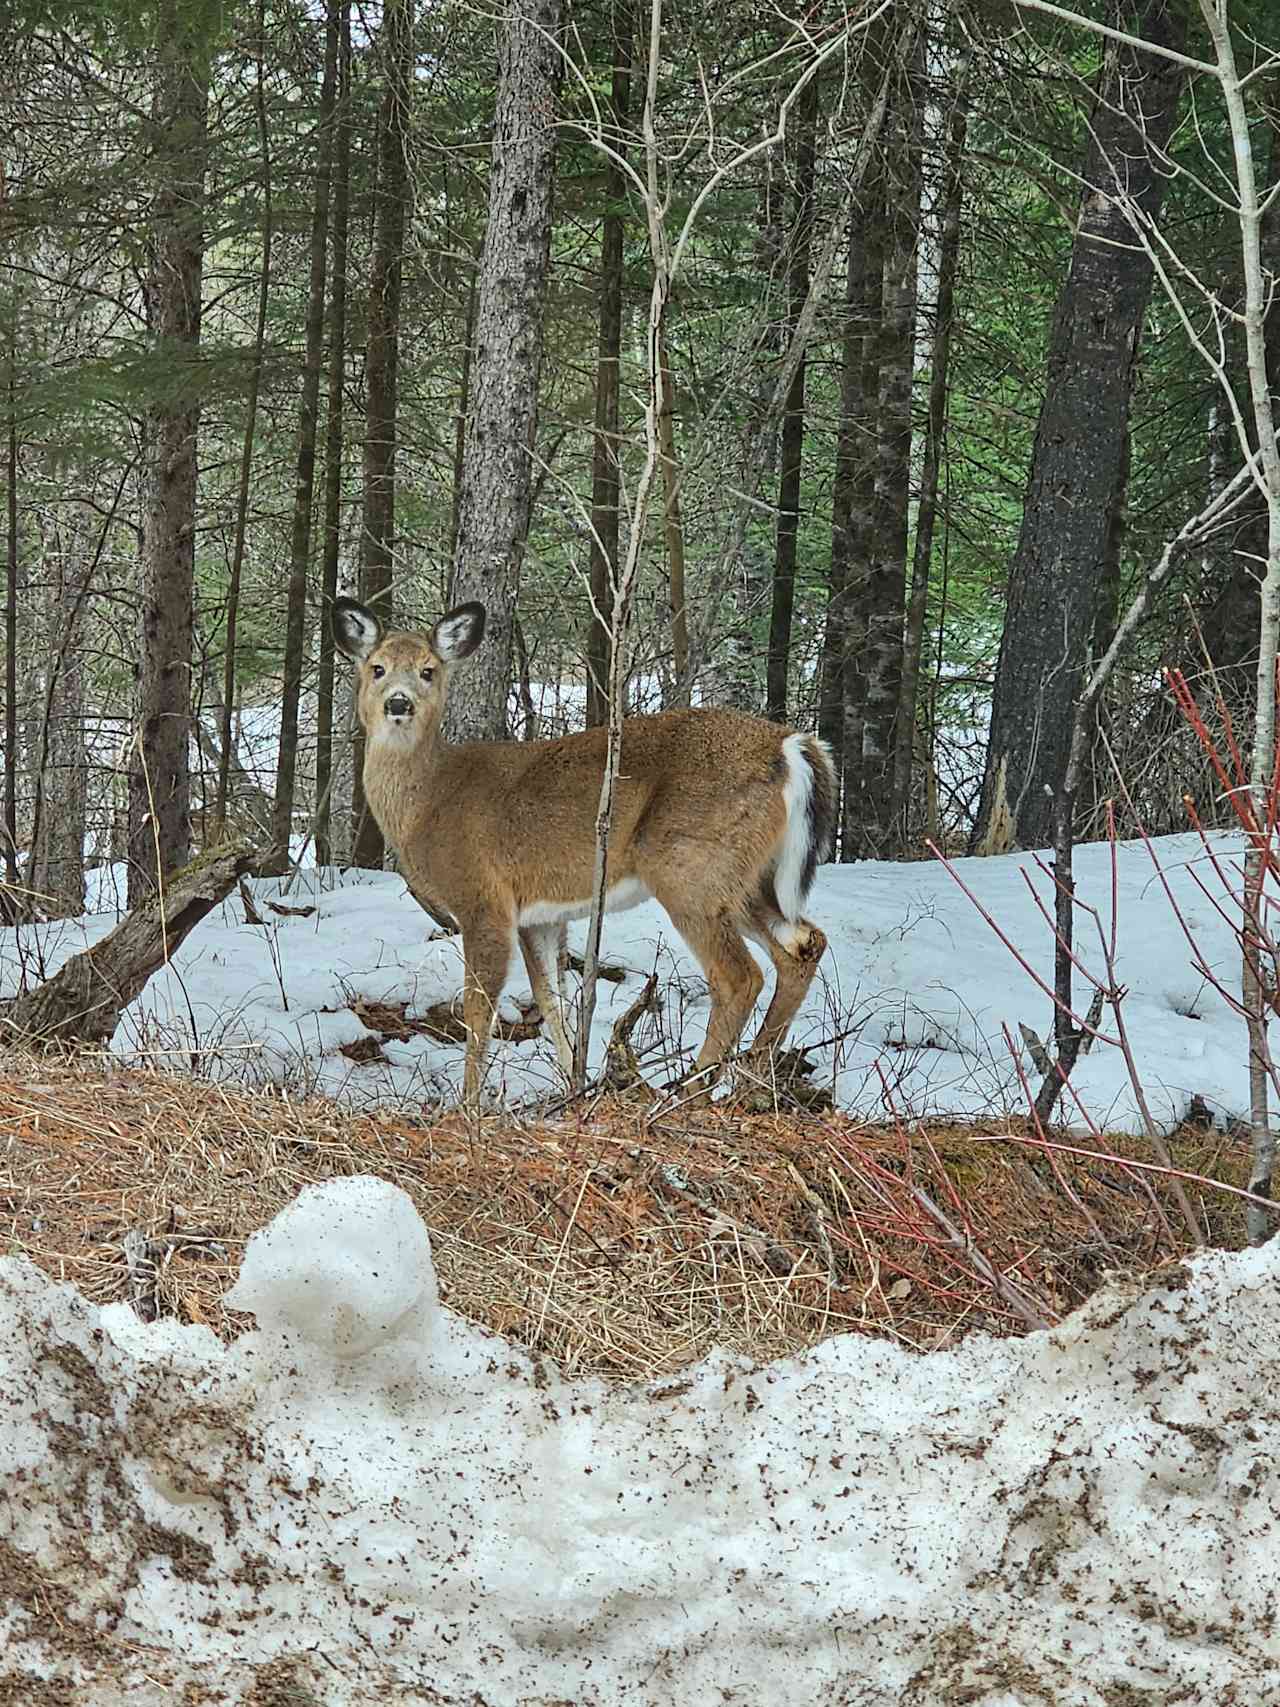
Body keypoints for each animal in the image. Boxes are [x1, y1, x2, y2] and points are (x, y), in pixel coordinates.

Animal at [336, 600, 836, 1099]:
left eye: (429, 671)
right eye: (377, 667)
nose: (398, 703)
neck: (430, 802)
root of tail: (792, 745)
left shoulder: (483, 898)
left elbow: (479, 1010)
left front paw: (470, 1104)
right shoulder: (536, 916)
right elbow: (550, 998)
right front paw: (570, 1084)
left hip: (690, 868)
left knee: (739, 976)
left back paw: (691, 1090)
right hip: (747, 878)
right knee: (803, 944)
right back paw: (753, 1078)